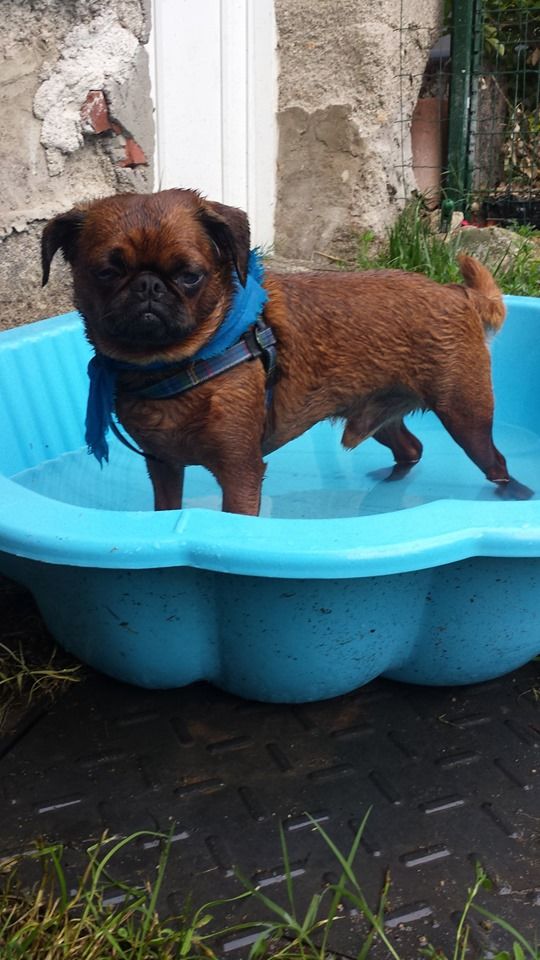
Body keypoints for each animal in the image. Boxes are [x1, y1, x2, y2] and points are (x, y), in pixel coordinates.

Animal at [42, 190, 516, 512]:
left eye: (190, 275)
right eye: (106, 272)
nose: (147, 285)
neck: (177, 364)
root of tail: (456, 293)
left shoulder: (240, 473)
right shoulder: (163, 466)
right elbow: (167, 509)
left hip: (465, 415)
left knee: (495, 462)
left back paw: (512, 493)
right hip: (382, 412)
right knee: (411, 448)